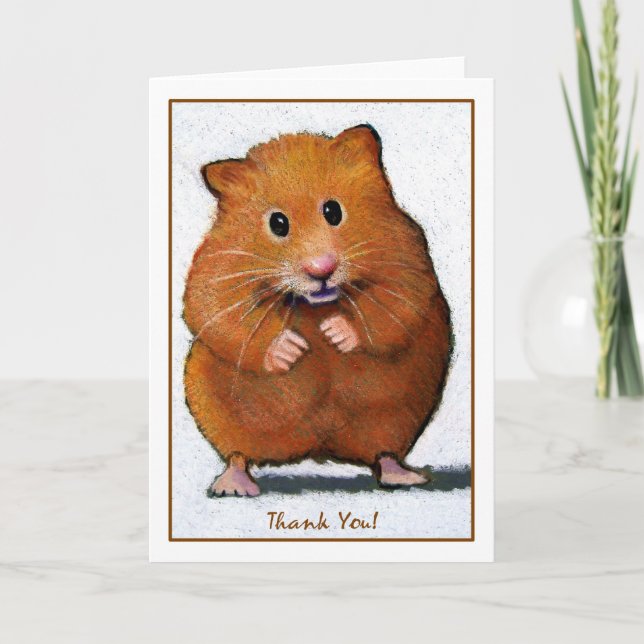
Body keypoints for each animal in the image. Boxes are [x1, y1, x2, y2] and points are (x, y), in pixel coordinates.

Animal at [183, 124, 451, 497]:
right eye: (278, 223)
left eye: (333, 211)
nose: (321, 269)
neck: (315, 305)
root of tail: (315, 447)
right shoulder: (214, 271)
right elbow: (215, 311)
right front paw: (294, 349)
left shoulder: (408, 256)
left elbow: (395, 302)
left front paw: (333, 333)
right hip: (218, 413)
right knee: (237, 454)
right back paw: (233, 485)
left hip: (395, 417)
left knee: (383, 451)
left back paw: (405, 476)